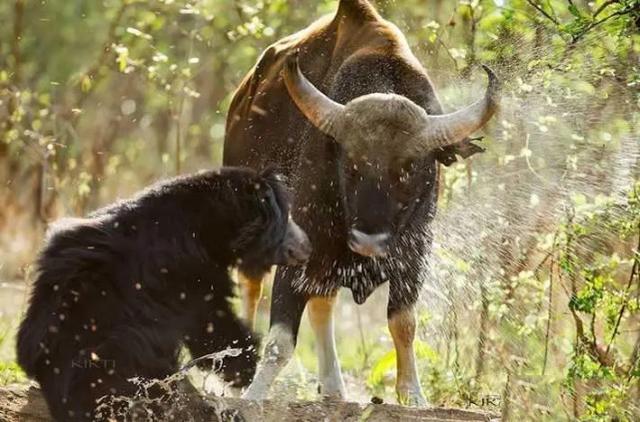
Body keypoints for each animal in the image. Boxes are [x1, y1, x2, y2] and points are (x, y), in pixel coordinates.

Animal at [16, 166, 312, 420]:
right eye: (285, 220)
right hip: (119, 353)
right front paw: (244, 366)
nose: (307, 247)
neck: (206, 223)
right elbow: (211, 321)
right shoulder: (189, 272)